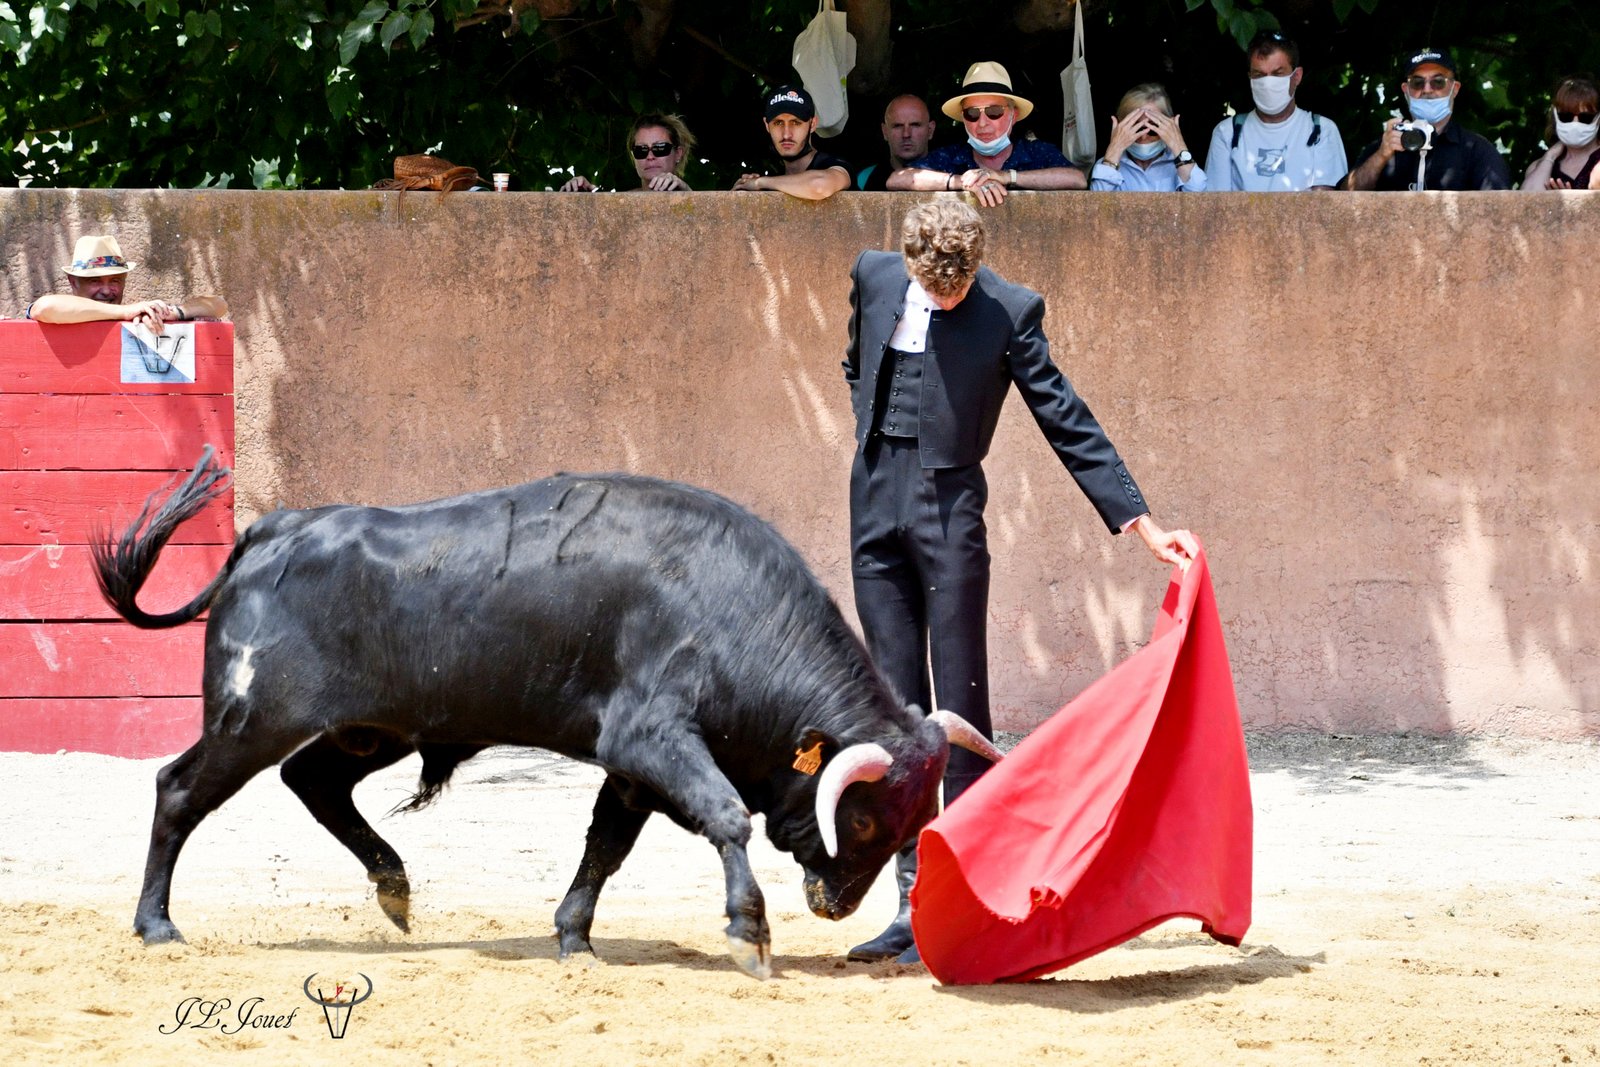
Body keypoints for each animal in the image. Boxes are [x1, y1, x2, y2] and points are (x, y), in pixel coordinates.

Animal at [90, 451, 998, 979]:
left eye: (914, 822)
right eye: (869, 820)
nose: (837, 906)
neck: (736, 609)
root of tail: (274, 529)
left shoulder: (631, 767)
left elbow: (606, 845)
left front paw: (574, 936)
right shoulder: (652, 738)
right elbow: (726, 816)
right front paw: (749, 932)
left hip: (369, 728)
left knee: (312, 780)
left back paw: (394, 887)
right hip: (251, 716)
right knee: (180, 790)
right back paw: (156, 923)